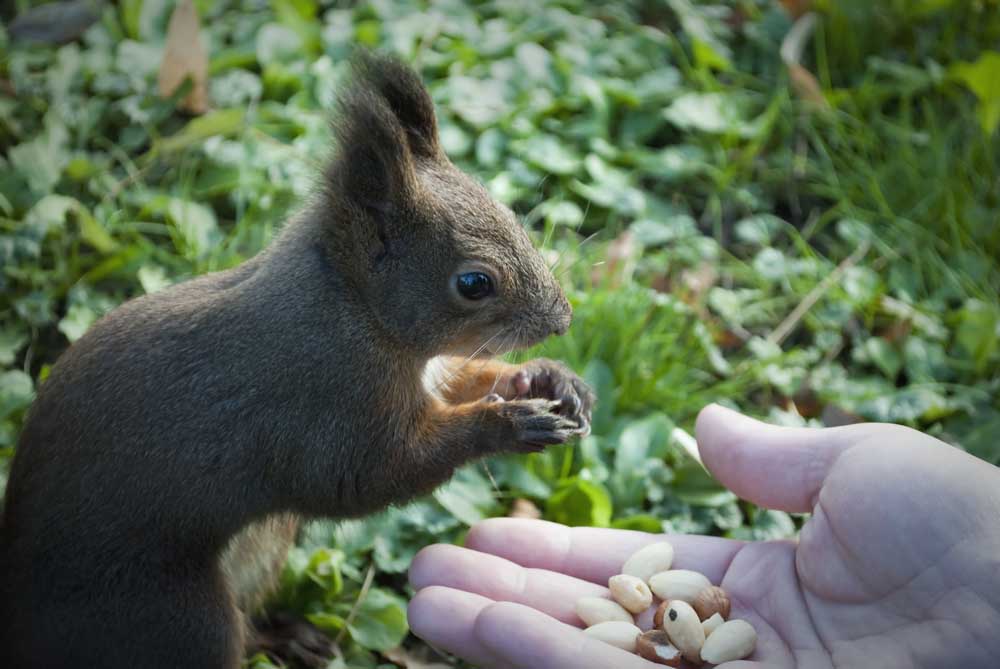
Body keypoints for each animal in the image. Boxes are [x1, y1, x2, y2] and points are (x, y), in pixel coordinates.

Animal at [0, 53, 592, 668]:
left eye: (513, 216)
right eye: (474, 283)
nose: (562, 320)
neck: (353, 306)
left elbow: (461, 381)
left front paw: (548, 378)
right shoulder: (324, 405)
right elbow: (369, 475)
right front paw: (508, 423)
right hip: (179, 616)